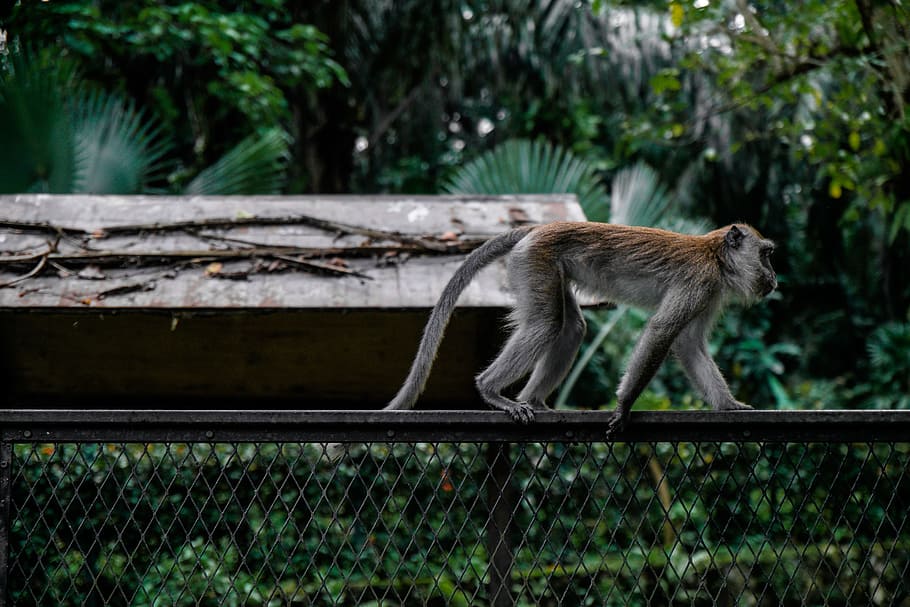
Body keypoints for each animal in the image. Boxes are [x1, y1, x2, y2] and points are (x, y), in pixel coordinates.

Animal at [380, 221, 776, 439]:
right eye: (766, 255)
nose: (774, 278)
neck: (716, 257)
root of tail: (538, 228)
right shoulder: (700, 281)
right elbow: (663, 332)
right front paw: (624, 407)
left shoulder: (709, 293)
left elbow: (689, 344)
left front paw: (729, 405)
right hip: (535, 260)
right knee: (545, 324)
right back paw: (490, 390)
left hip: (548, 268)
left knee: (571, 328)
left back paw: (533, 401)